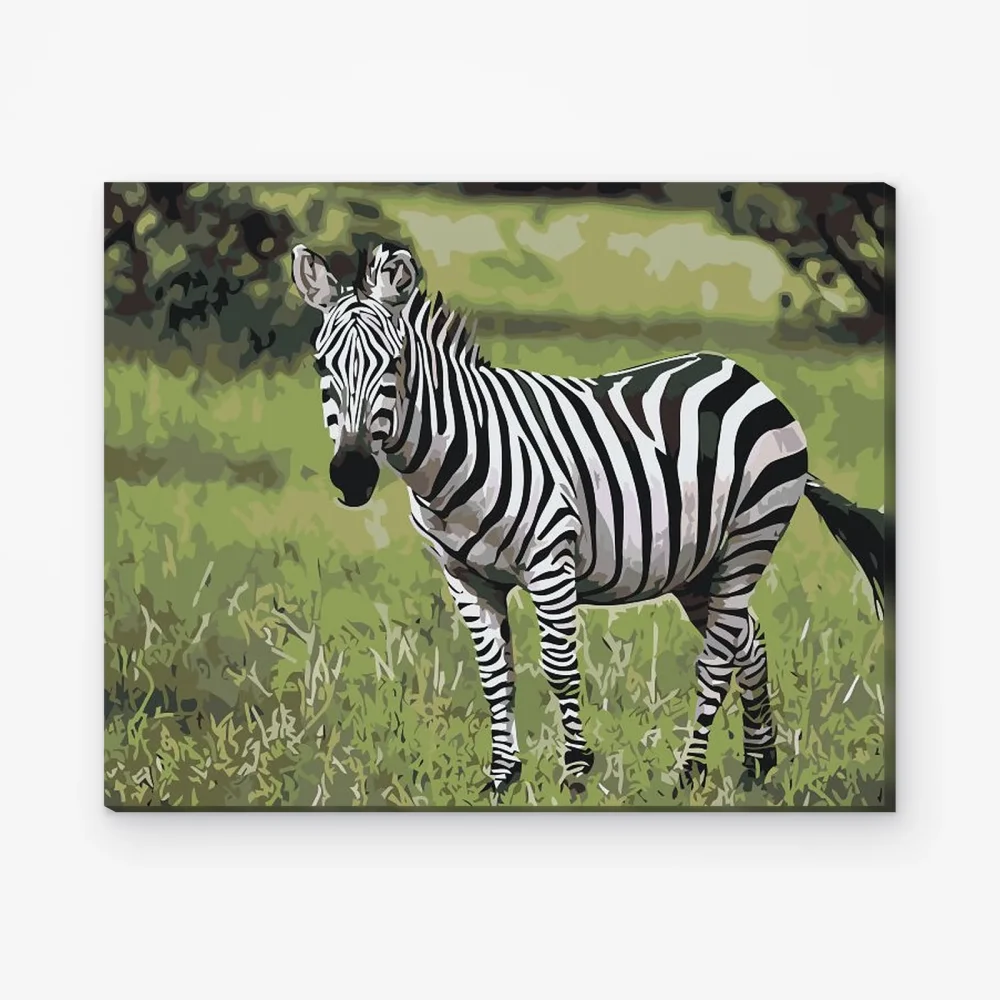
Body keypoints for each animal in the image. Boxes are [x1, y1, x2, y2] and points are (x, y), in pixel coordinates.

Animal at [291, 240, 886, 794]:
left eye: (394, 365)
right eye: (321, 366)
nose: (351, 474)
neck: (456, 452)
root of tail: (743, 373)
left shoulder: (550, 559)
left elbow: (559, 667)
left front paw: (575, 772)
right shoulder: (465, 576)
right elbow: (494, 676)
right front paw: (502, 777)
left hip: (750, 536)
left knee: (718, 658)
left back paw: (687, 773)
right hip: (699, 564)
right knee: (749, 640)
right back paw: (758, 766)